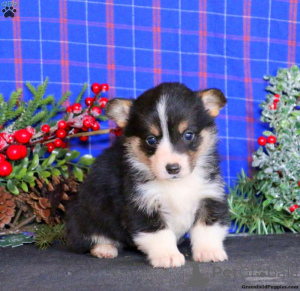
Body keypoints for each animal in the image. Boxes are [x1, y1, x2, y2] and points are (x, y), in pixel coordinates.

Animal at [66, 82, 230, 270]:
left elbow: (207, 228)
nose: (173, 168)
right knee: (90, 237)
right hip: (85, 215)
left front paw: (209, 252)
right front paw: (168, 256)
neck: (176, 184)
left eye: (188, 135)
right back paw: (104, 248)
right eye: (151, 139)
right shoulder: (141, 205)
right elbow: (159, 233)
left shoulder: (210, 196)